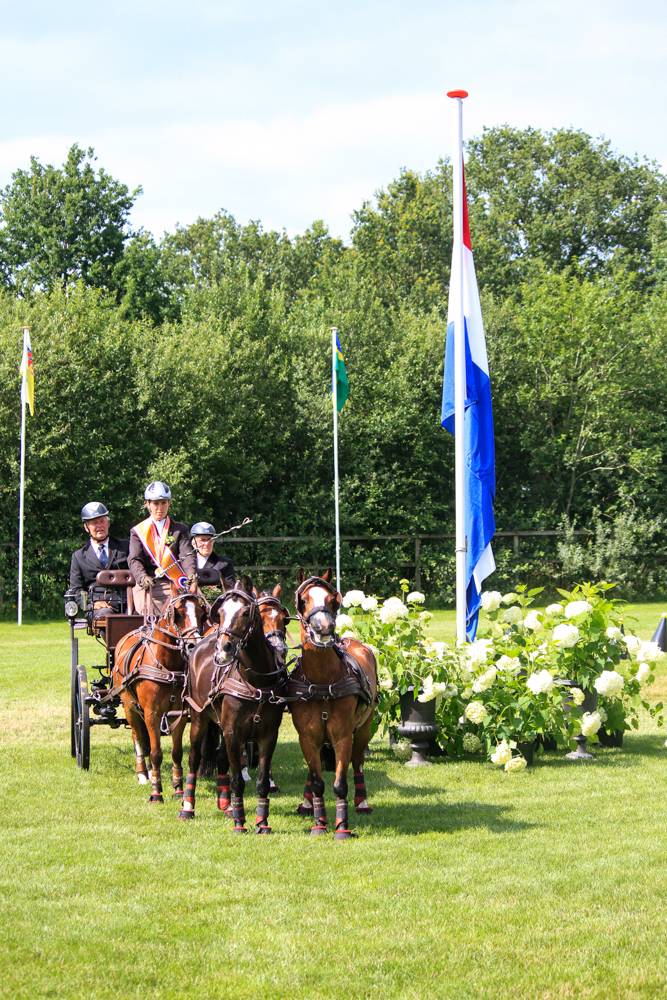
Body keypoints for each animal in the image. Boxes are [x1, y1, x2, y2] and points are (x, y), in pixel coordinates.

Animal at [113, 584, 209, 804]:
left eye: (201, 614)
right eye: (178, 614)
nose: (192, 645)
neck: (167, 665)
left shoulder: (179, 714)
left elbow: (176, 752)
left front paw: (178, 789)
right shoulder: (152, 713)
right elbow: (156, 752)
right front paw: (156, 792)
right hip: (129, 706)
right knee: (137, 736)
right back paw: (142, 773)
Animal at [290, 572, 378, 836]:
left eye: (332, 599)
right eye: (303, 600)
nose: (324, 627)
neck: (322, 681)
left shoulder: (343, 736)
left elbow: (340, 783)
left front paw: (342, 827)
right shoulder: (307, 737)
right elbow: (318, 781)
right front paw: (319, 823)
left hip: (364, 728)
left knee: (357, 762)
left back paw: (362, 802)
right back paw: (307, 802)